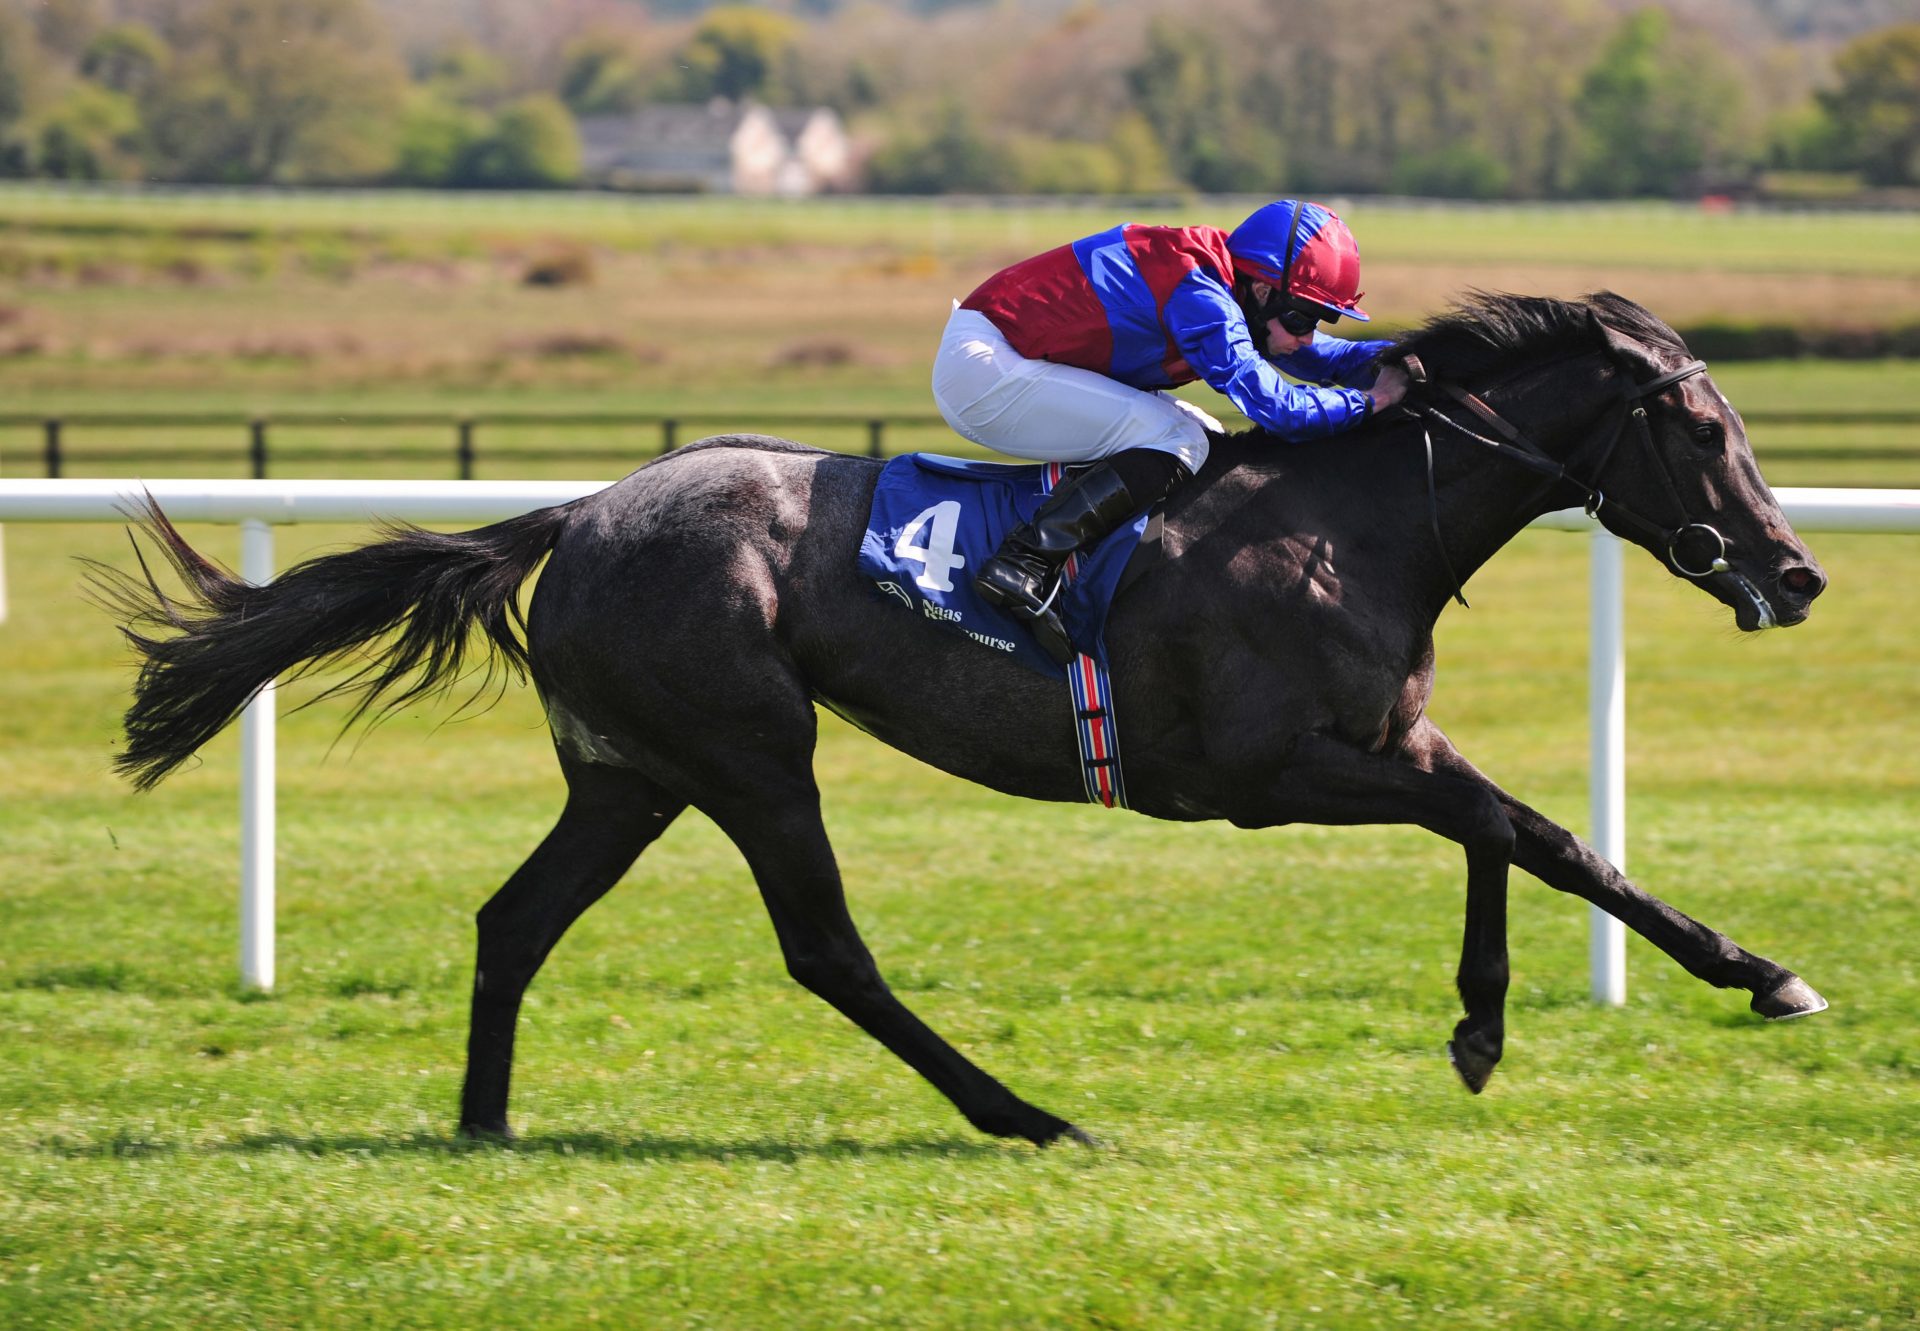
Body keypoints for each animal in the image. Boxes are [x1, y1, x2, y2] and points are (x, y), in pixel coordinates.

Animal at [101, 295, 1827, 1144]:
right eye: (1701, 430)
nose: (1797, 570)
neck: (1350, 516)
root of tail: (583, 509)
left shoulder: (1386, 743)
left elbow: (1551, 836)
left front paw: (1757, 971)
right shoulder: (1270, 770)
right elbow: (1493, 825)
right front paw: (1481, 1023)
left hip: (632, 774)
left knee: (514, 918)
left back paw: (481, 1122)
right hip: (750, 752)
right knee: (826, 949)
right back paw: (1024, 1112)